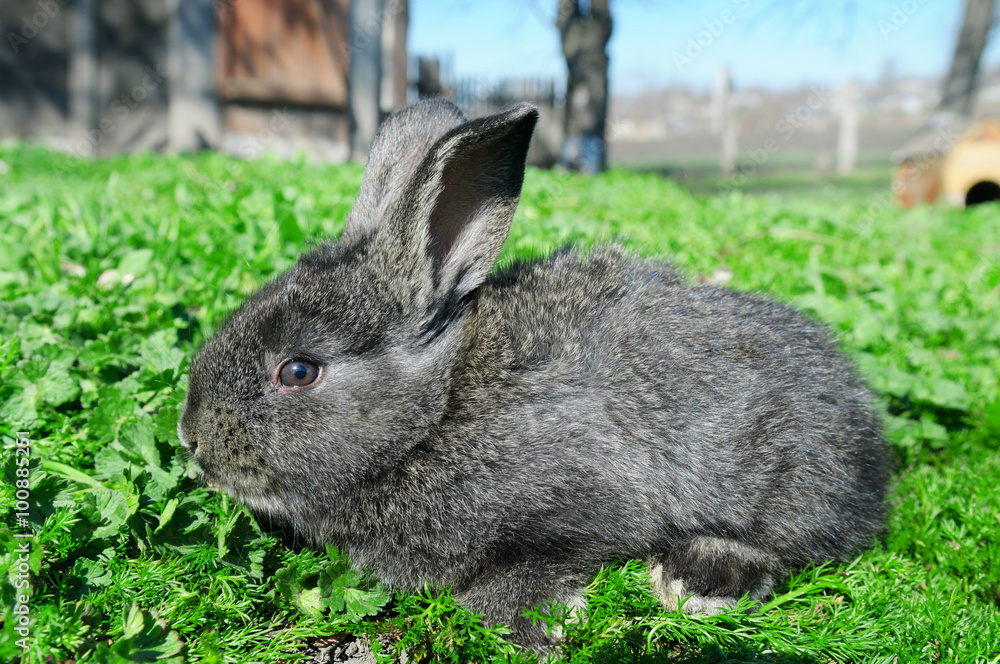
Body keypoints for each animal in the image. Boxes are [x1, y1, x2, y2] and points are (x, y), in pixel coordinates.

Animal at [178, 99, 889, 651]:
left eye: (298, 371)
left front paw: (523, 625)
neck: (436, 412)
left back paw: (699, 578)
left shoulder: (583, 497)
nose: (192, 438)